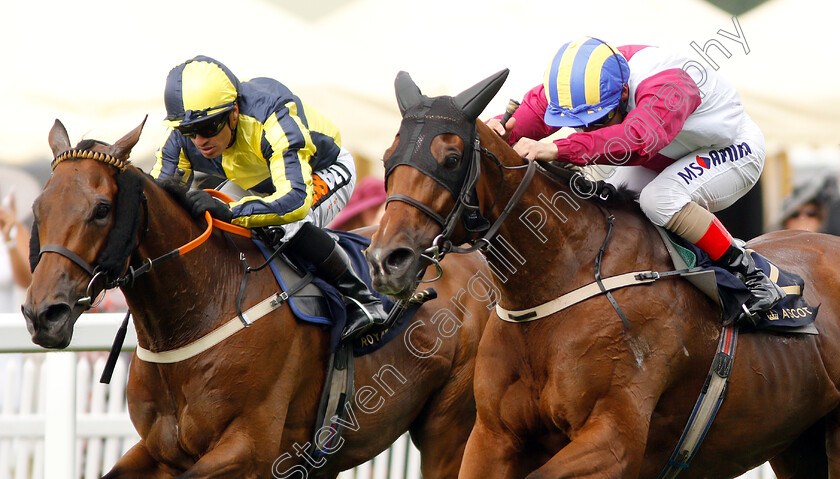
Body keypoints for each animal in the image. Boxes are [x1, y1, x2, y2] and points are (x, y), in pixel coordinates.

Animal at [23, 118, 496, 478]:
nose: (43, 313)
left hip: (449, 428)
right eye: (38, 209)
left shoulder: (251, 450)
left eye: (102, 209)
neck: (198, 312)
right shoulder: (160, 450)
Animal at [368, 69, 840, 478]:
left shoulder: (613, 439)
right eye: (388, 158)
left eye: (450, 158)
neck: (554, 283)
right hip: (797, 443)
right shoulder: (492, 436)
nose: (387, 260)